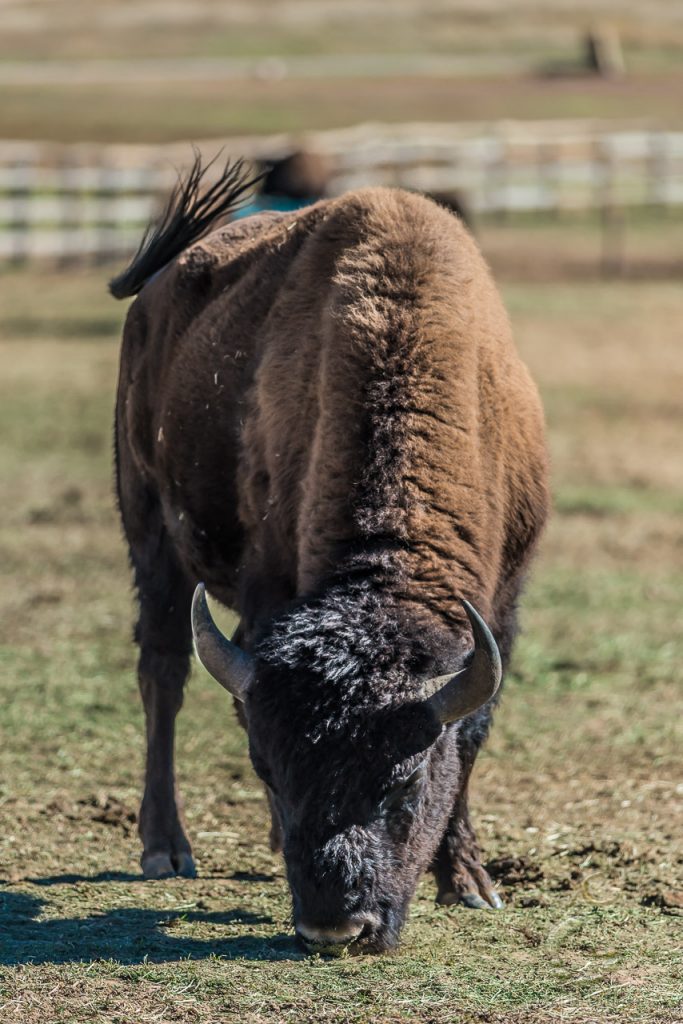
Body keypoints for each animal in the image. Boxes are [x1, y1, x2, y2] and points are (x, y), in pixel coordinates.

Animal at [112, 155, 548, 954]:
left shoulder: (503, 601)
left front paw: (469, 882)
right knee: (162, 672)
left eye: (406, 781)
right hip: (150, 531)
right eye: (273, 770)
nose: (335, 926)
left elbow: (470, 735)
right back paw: (165, 849)